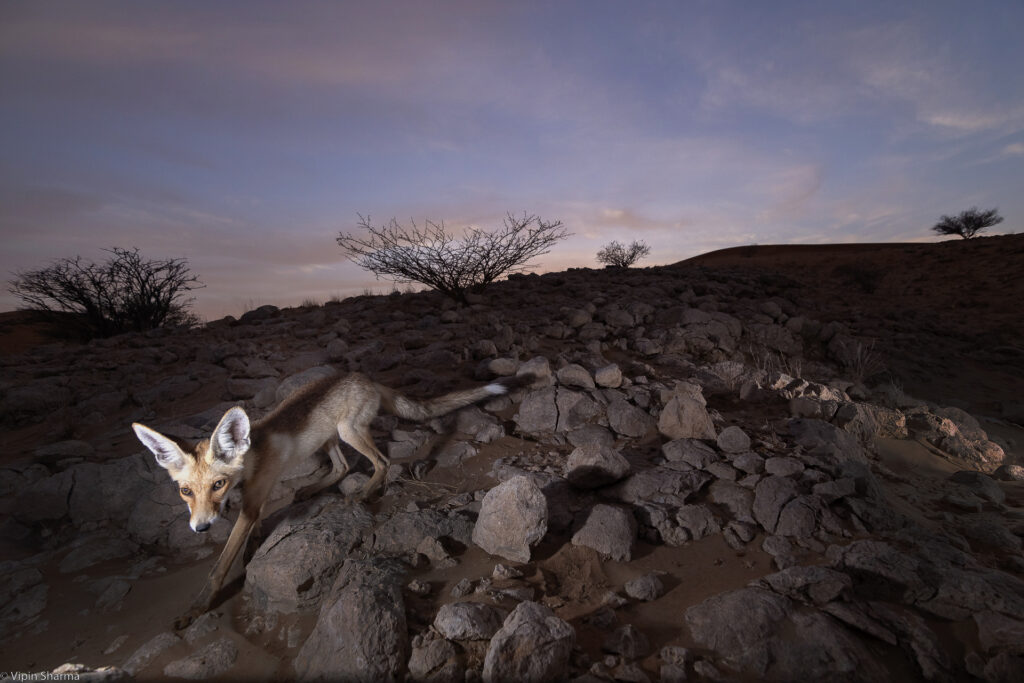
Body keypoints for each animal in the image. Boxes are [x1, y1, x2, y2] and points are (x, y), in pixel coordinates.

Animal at [131, 370, 524, 626]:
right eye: (185, 491)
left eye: (217, 485)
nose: (200, 528)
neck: (251, 460)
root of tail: (364, 377)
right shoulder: (253, 503)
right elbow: (250, 535)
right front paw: (251, 547)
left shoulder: (253, 502)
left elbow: (220, 565)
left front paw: (197, 608)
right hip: (330, 437)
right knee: (341, 467)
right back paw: (312, 489)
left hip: (348, 431)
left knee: (380, 463)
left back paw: (363, 494)